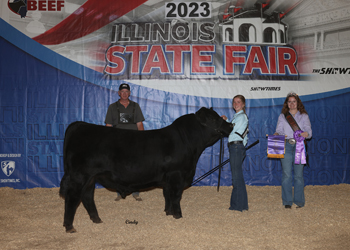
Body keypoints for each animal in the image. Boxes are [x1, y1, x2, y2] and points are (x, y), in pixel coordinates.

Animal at [59, 107, 234, 232]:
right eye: (213, 118)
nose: (230, 125)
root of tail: (79, 124)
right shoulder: (177, 174)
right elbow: (176, 196)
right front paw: (178, 216)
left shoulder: (168, 178)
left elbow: (167, 195)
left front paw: (168, 212)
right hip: (79, 176)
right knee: (72, 198)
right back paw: (69, 226)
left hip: (90, 178)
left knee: (87, 196)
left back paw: (96, 219)